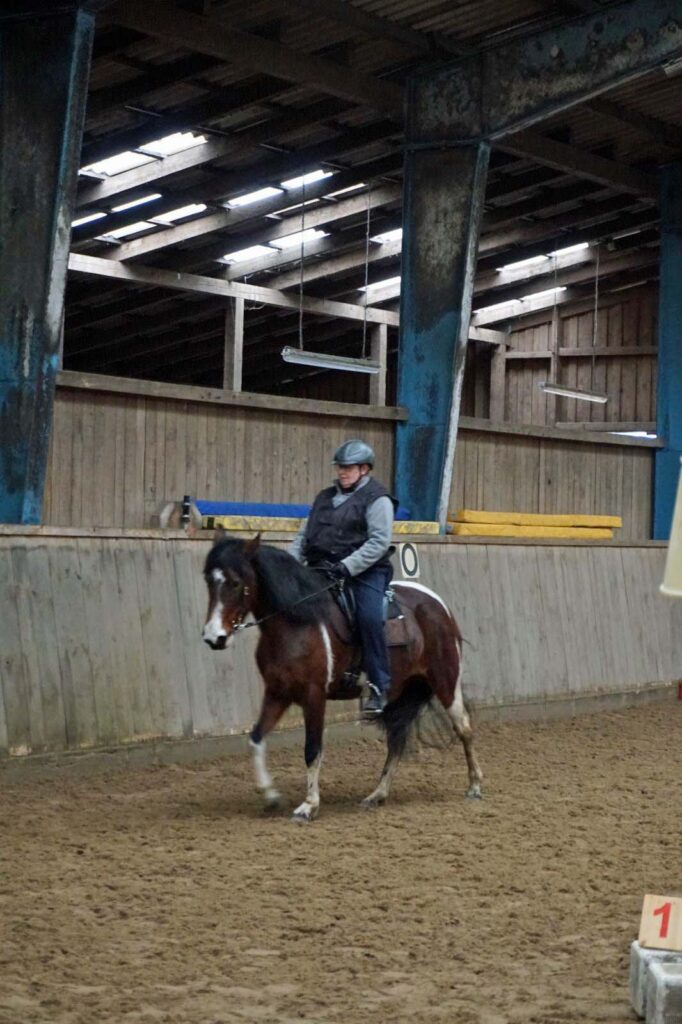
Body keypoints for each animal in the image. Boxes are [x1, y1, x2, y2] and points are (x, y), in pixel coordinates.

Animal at [199, 532, 481, 819]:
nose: (214, 637)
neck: (296, 623)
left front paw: (309, 805)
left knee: (464, 728)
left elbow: (312, 749)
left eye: (235, 582)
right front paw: (271, 797)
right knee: (396, 741)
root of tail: (437, 604)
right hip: (404, 691)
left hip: (446, 681)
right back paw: (377, 795)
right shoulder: (278, 693)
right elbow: (255, 739)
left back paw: (474, 786)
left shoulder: (314, 695)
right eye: (209, 580)